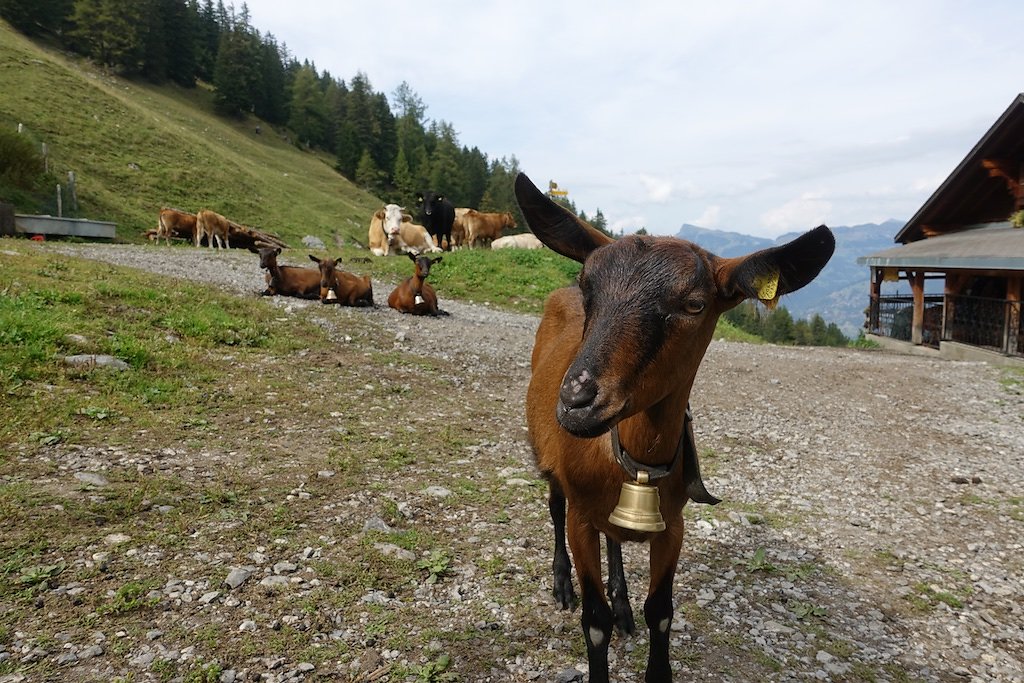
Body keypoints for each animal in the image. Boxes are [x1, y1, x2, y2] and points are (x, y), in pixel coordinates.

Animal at [516, 172, 835, 683]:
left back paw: (622, 601)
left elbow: (661, 611)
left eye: (694, 304)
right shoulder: (581, 517)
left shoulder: (673, 524)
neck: (636, 463)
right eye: (588, 287)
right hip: (548, 462)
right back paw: (562, 583)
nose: (578, 402)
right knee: (553, 504)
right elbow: (594, 620)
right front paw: (591, 605)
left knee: (614, 539)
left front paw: (635, 617)